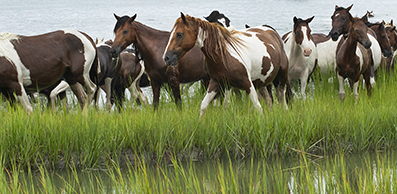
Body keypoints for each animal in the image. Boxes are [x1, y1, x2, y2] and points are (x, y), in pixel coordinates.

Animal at [162, 13, 290, 117]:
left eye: (179, 34)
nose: (166, 57)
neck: (224, 55)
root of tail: (272, 32)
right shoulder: (216, 82)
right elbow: (204, 105)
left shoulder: (247, 84)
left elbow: (258, 108)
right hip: (260, 82)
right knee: (269, 100)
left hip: (280, 79)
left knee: (282, 100)